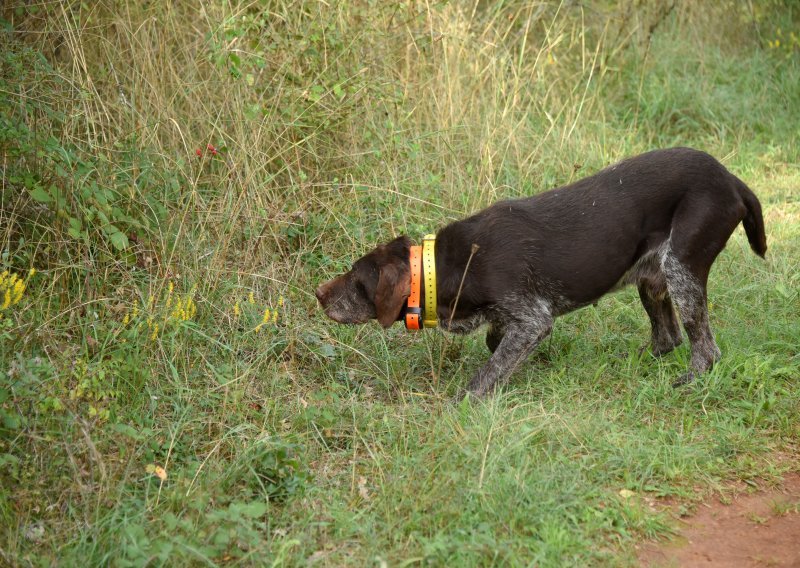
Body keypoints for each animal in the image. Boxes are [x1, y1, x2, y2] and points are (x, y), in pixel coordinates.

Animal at [316, 151, 764, 398]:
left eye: (357, 280)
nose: (319, 293)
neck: (447, 265)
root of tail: (732, 180)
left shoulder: (533, 319)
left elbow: (490, 369)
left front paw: (464, 401)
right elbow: (496, 342)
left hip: (680, 267)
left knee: (706, 348)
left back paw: (690, 380)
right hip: (652, 276)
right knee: (668, 336)